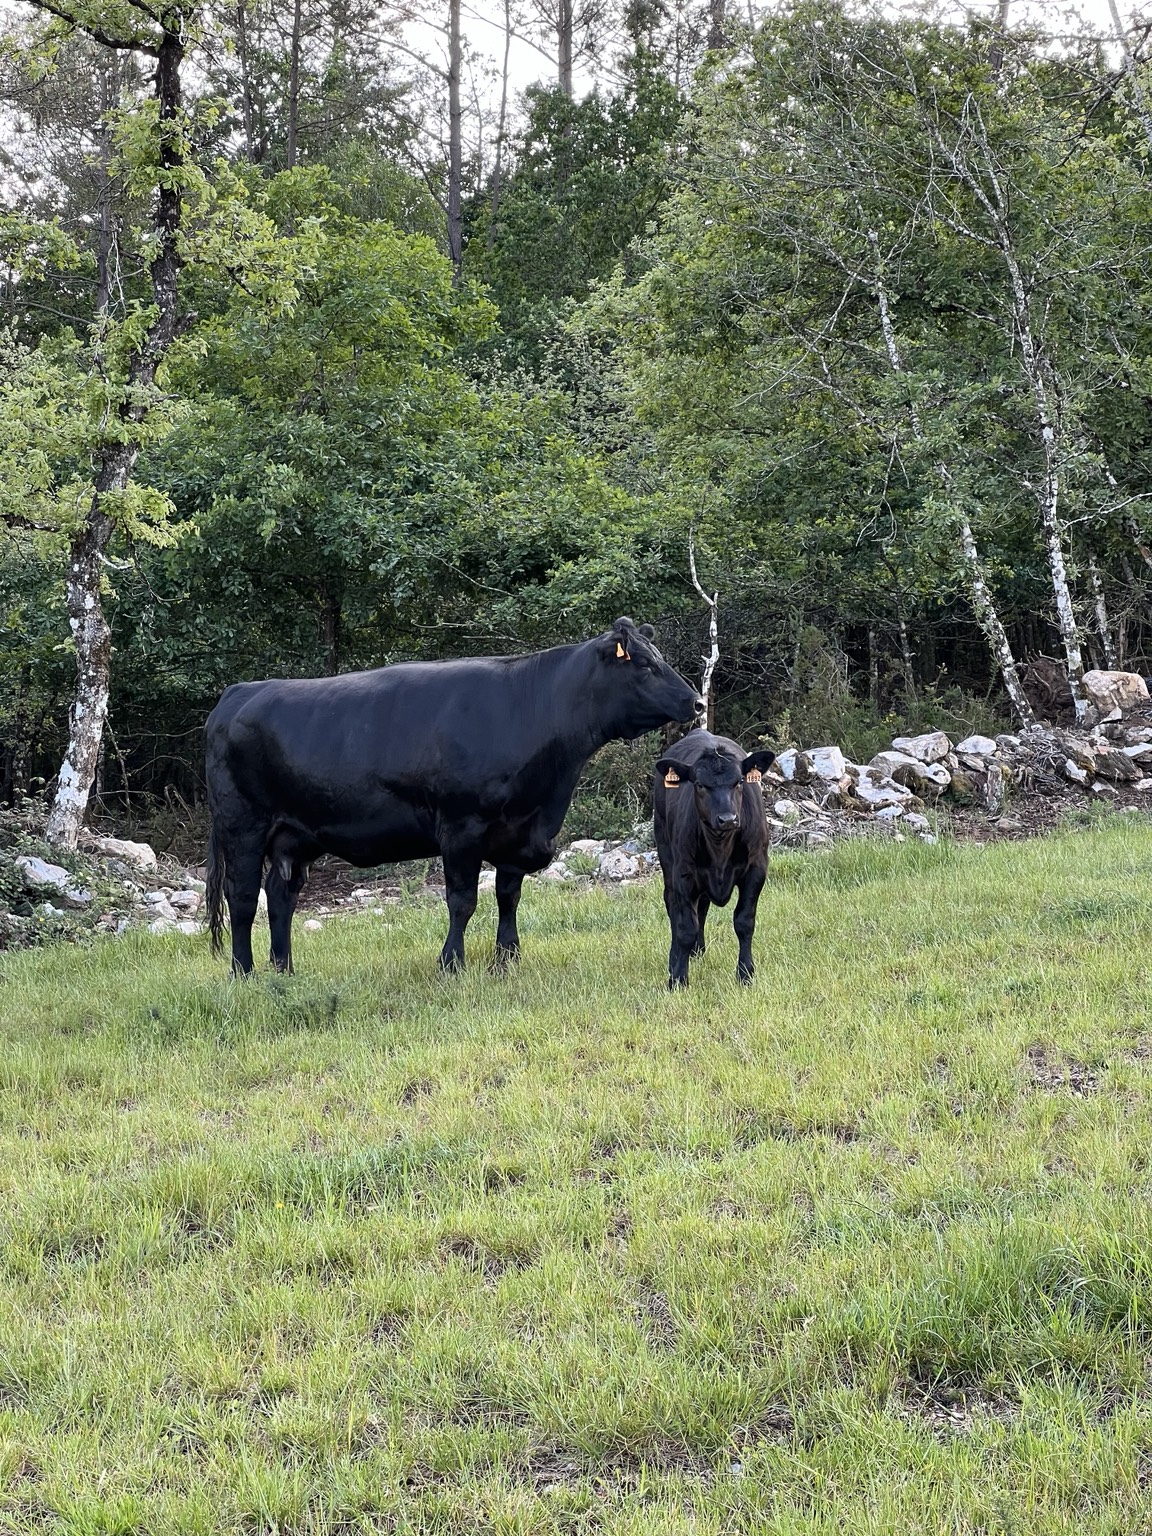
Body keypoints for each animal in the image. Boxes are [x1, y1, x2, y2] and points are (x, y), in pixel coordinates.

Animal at [205, 617, 700, 977]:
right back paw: (243, 972)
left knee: (280, 895)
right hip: (243, 825)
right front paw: (451, 963)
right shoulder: (462, 825)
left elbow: (507, 895)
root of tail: (237, 693)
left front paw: (507, 958)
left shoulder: (517, 831)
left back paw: (284, 968)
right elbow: (462, 900)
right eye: (645, 665)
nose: (695, 702)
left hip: (296, 834)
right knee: (243, 896)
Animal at [652, 729, 776, 989]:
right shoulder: (683, 873)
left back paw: (697, 950)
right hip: (665, 853)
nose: (727, 819)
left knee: (702, 906)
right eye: (700, 784)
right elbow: (685, 927)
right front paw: (678, 978)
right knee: (672, 904)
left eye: (739, 781)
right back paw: (676, 957)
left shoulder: (757, 868)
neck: (720, 848)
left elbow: (744, 921)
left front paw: (745, 974)